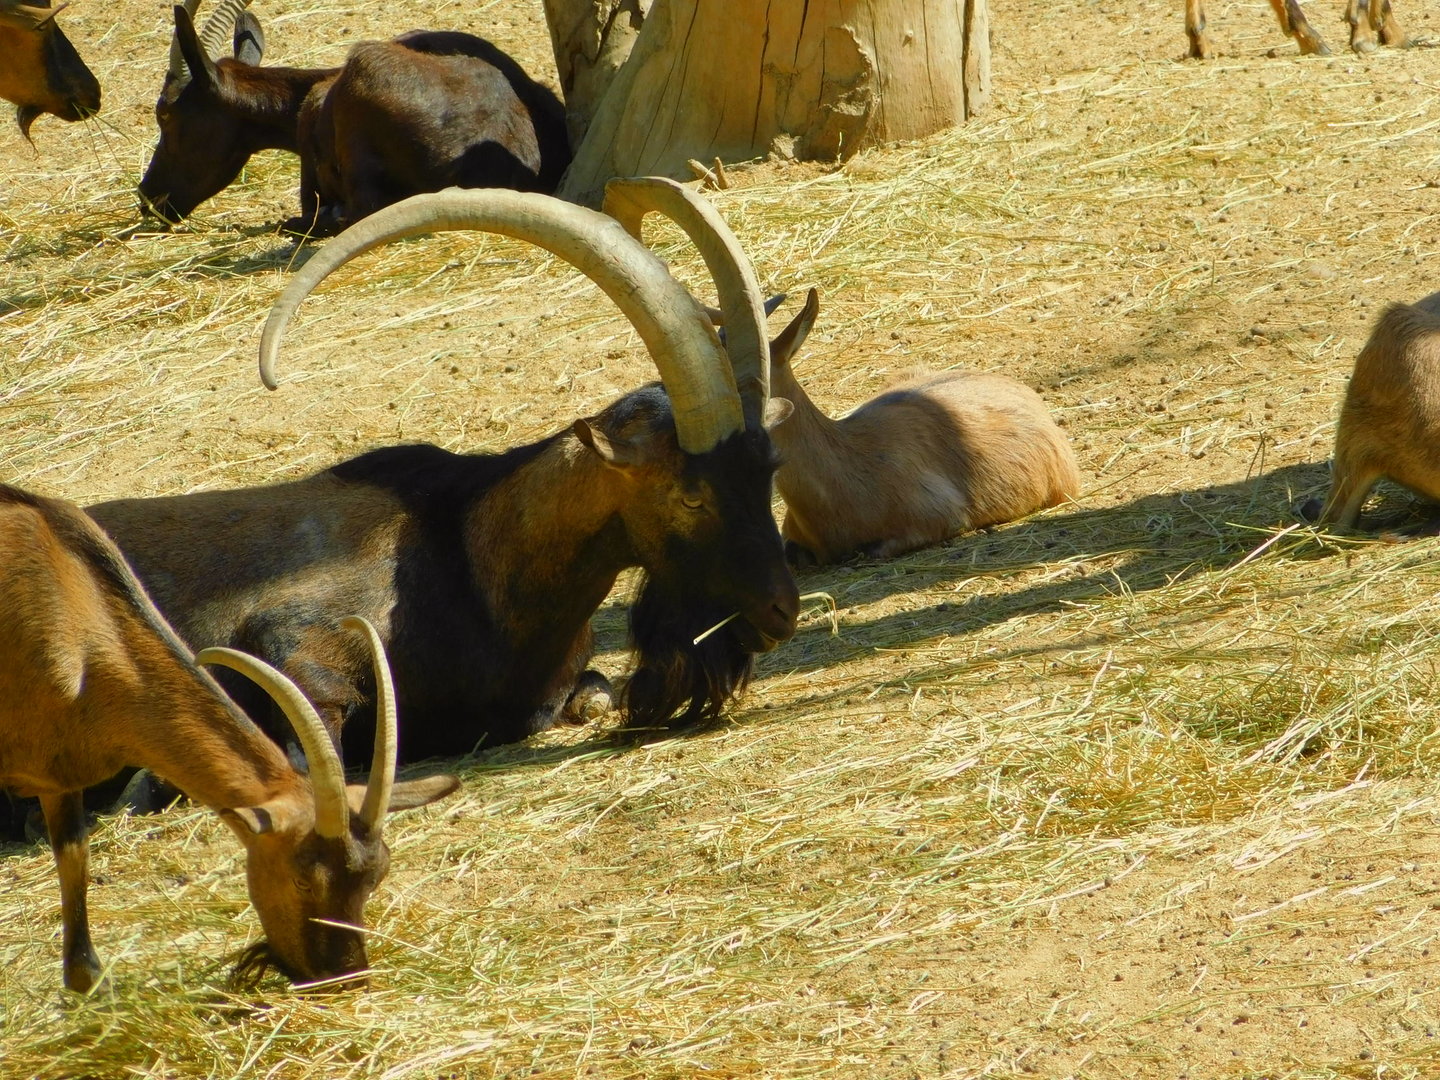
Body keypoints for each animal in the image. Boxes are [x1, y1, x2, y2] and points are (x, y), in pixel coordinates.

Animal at [0, 482, 457, 991]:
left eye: (377, 875)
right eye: (302, 879)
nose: (344, 976)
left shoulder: (58, 776)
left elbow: (74, 862)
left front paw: (88, 983)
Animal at [90, 180, 799, 765]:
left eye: (769, 470)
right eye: (690, 496)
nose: (782, 611)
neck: (474, 558)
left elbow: (592, 694)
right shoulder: (288, 635)